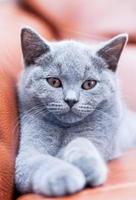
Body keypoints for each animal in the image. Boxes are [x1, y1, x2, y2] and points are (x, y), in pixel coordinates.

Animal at [14, 27, 136, 196]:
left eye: (89, 84)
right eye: (54, 81)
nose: (71, 100)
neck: (65, 129)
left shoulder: (102, 137)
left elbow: (81, 141)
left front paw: (86, 164)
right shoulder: (26, 155)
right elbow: (41, 161)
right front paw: (64, 175)